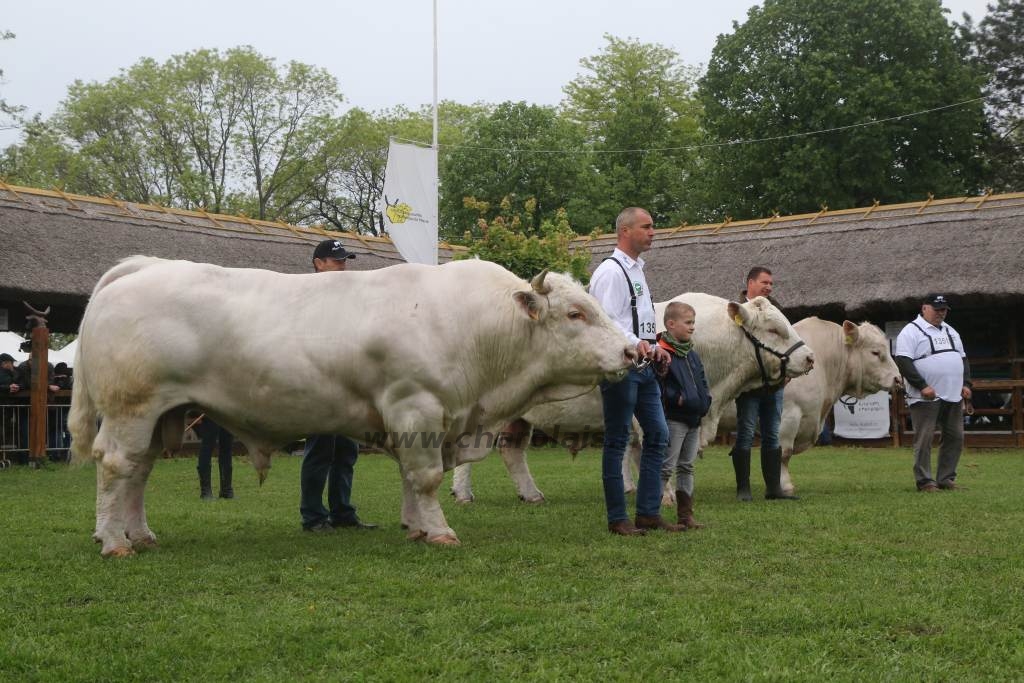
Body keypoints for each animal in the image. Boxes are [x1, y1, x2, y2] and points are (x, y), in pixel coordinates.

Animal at [70, 255, 630, 557]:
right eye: (576, 313)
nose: (634, 350)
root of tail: (143, 267)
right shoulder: (416, 405)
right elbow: (426, 476)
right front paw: (440, 531)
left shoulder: (423, 420)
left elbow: (410, 477)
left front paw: (415, 527)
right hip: (132, 408)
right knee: (115, 466)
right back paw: (113, 540)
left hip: (159, 415)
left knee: (138, 472)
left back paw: (140, 533)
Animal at [450, 294, 815, 501]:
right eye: (774, 329)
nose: (809, 357)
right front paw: (663, 496)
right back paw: (463, 493)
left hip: (518, 415)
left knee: (512, 451)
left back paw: (531, 494)